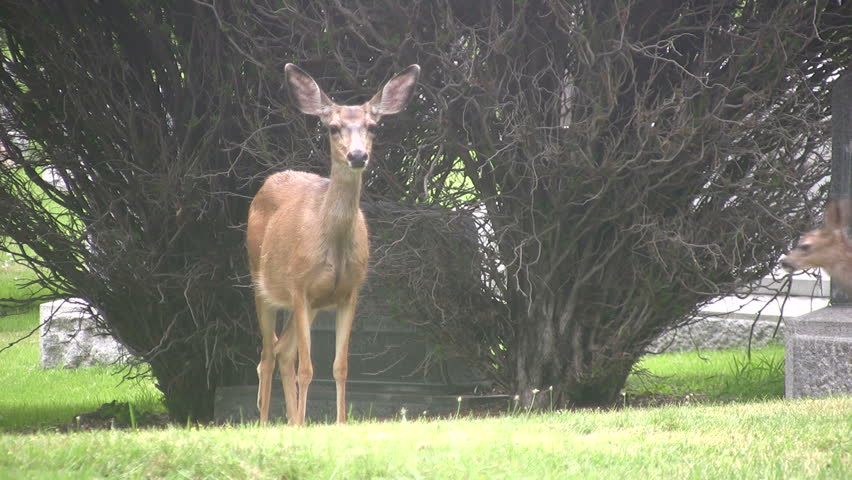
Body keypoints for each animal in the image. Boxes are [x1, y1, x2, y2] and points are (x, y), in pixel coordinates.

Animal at [246, 63, 420, 426]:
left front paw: (339, 423)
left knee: (283, 352)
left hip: (310, 305)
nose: (357, 155)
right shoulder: (299, 287)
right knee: (267, 355)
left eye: (373, 126)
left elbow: (340, 367)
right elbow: (308, 368)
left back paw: (289, 421)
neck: (334, 245)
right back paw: (267, 423)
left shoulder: (348, 293)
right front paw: (301, 423)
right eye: (333, 127)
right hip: (261, 282)